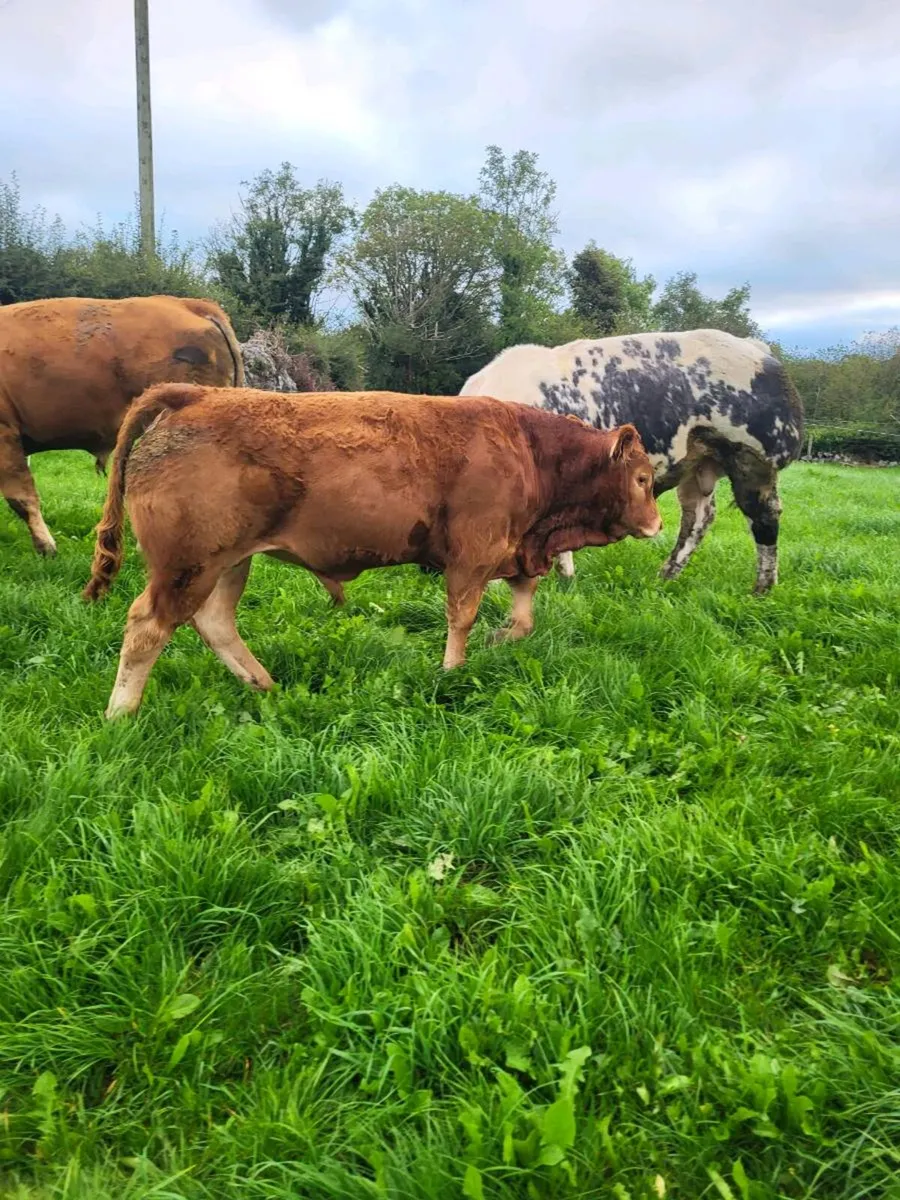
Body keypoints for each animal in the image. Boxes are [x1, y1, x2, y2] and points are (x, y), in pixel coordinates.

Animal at [81, 383, 662, 718]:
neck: (530, 450)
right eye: (641, 478)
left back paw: (263, 684)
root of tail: (196, 394)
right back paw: (121, 714)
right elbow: (462, 617)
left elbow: (522, 616)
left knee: (214, 621)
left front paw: (500, 640)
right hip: (188, 565)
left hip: (229, 562)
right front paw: (452, 672)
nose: (658, 524)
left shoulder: (515, 550)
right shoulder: (472, 556)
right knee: (148, 627)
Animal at [460, 328, 805, 593]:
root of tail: (758, 348)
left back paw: (761, 589)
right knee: (699, 516)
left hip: (752, 456)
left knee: (764, 516)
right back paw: (664, 577)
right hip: (698, 464)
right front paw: (564, 576)